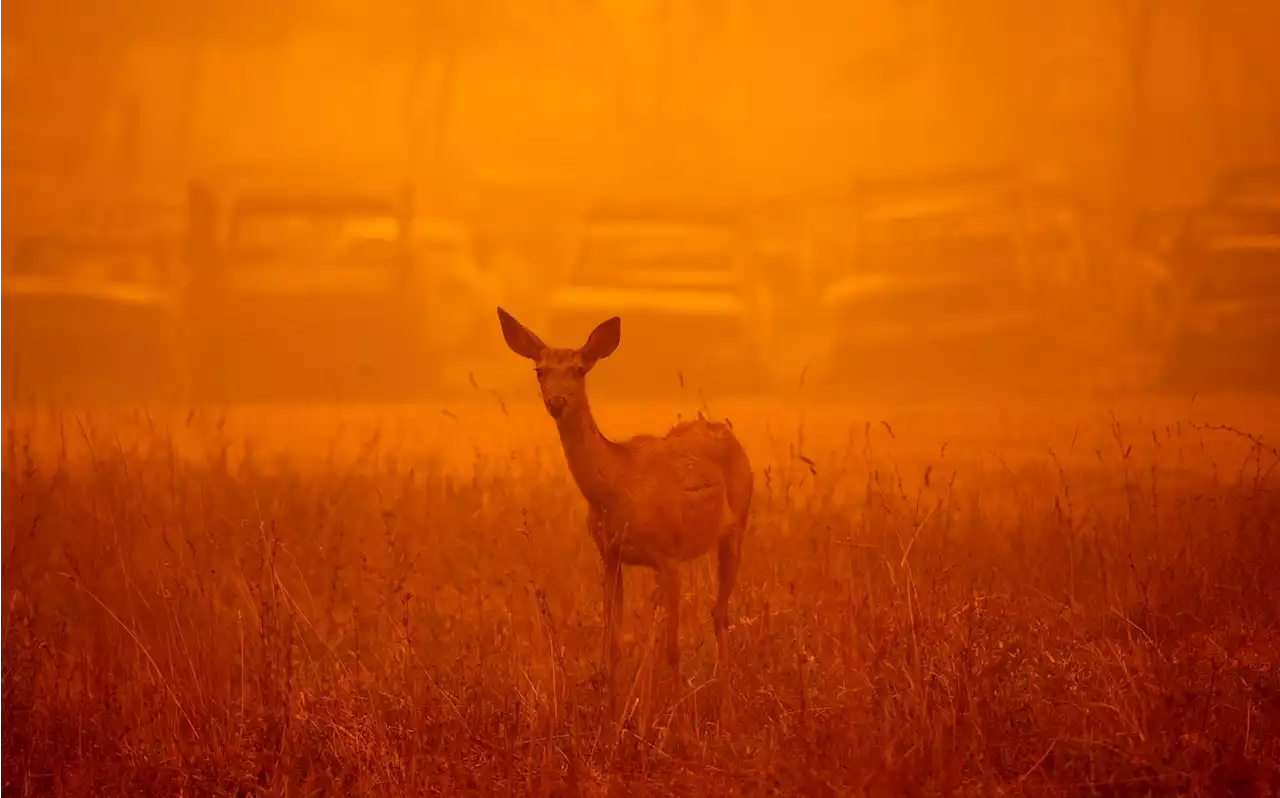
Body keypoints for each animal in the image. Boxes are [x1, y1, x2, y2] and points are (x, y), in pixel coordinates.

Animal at [488, 308, 747, 727]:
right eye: (540, 370)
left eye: (579, 369)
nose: (556, 401)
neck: (616, 490)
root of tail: (725, 428)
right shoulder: (610, 554)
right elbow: (613, 642)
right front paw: (613, 720)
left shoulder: (668, 553)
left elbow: (674, 646)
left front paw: (682, 728)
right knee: (663, 621)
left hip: (736, 528)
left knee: (719, 614)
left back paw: (727, 714)